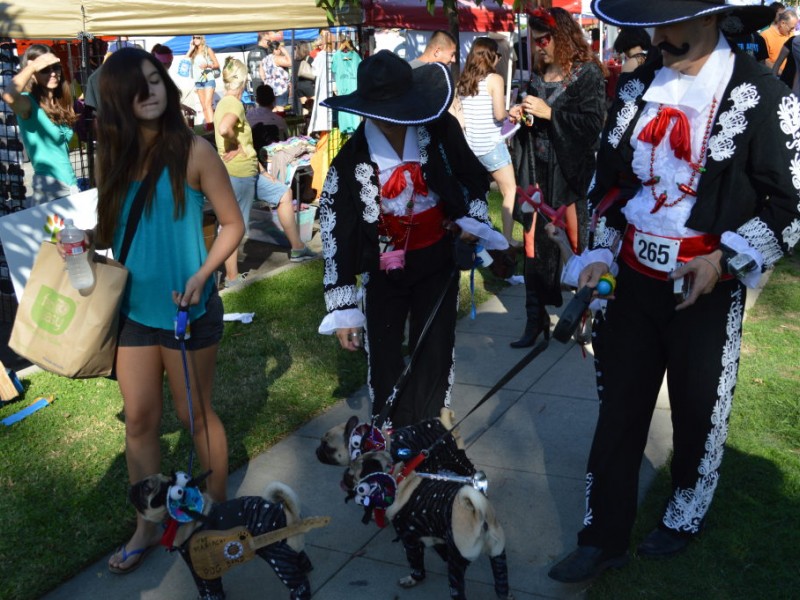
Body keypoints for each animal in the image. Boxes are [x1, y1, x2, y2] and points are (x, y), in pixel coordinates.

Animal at [128, 474, 312, 600]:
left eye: (146, 489)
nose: (133, 486)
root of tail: (286, 511)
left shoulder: (199, 565)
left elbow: (209, 588)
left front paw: (210, 598)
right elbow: (206, 586)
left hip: (277, 557)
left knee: (299, 583)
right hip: (289, 550)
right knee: (302, 560)